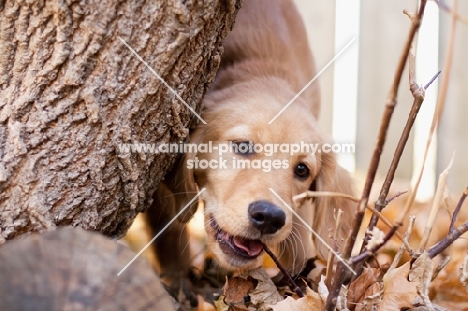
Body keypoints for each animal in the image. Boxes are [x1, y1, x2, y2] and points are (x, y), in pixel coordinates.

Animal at [148, 0, 356, 286]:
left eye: (302, 170)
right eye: (243, 146)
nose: (269, 218)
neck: (263, 69)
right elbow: (169, 231)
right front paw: (178, 282)